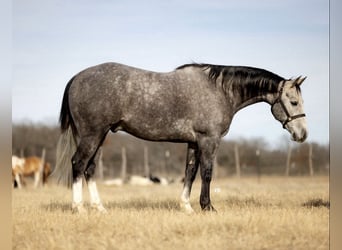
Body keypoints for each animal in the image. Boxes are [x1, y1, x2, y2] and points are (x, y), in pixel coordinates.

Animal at [52, 62, 308, 213]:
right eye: (294, 102)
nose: (302, 134)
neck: (220, 91)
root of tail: (76, 78)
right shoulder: (209, 140)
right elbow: (207, 173)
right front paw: (207, 207)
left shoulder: (193, 142)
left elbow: (190, 172)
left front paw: (186, 207)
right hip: (92, 135)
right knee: (78, 164)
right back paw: (78, 208)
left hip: (99, 136)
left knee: (90, 169)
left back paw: (100, 208)